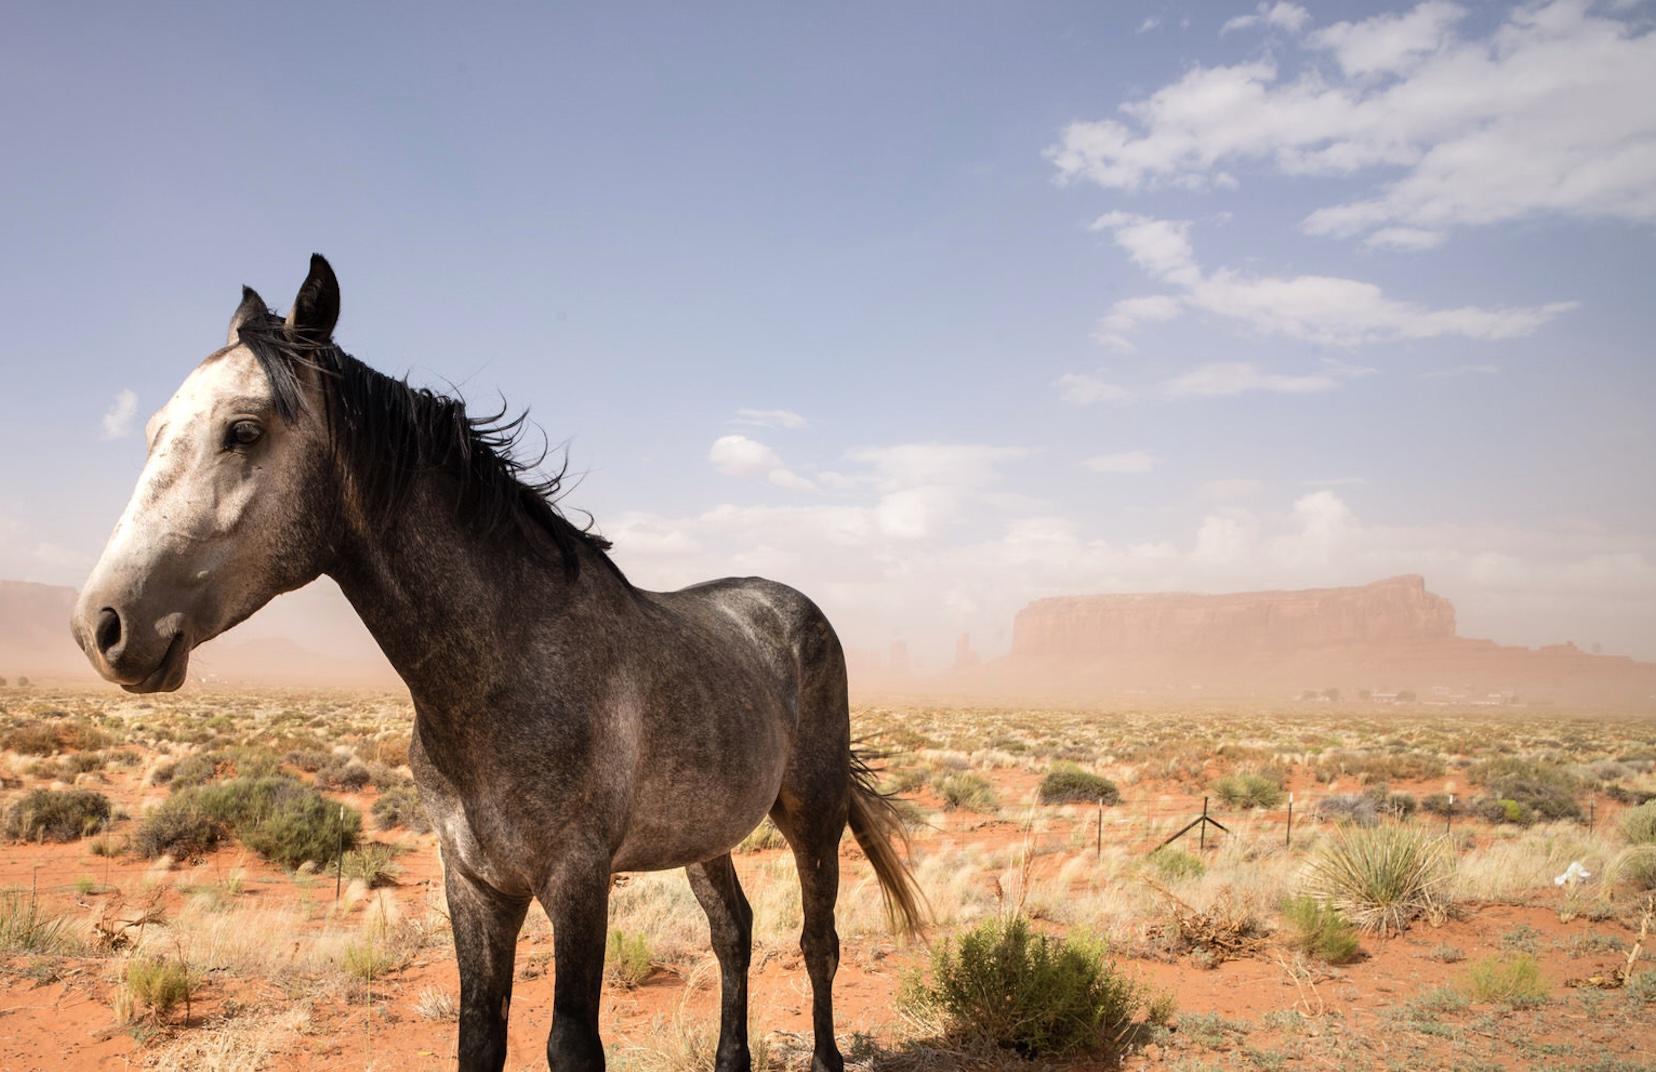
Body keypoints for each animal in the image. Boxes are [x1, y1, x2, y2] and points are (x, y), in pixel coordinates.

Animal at [71, 255, 927, 1067]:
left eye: (243, 430)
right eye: (153, 428)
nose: (100, 625)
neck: (503, 674)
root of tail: (791, 606)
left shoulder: (578, 883)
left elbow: (571, 1045)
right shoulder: (476, 887)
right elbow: (479, 1035)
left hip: (813, 814)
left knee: (818, 942)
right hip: (706, 834)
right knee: (733, 932)